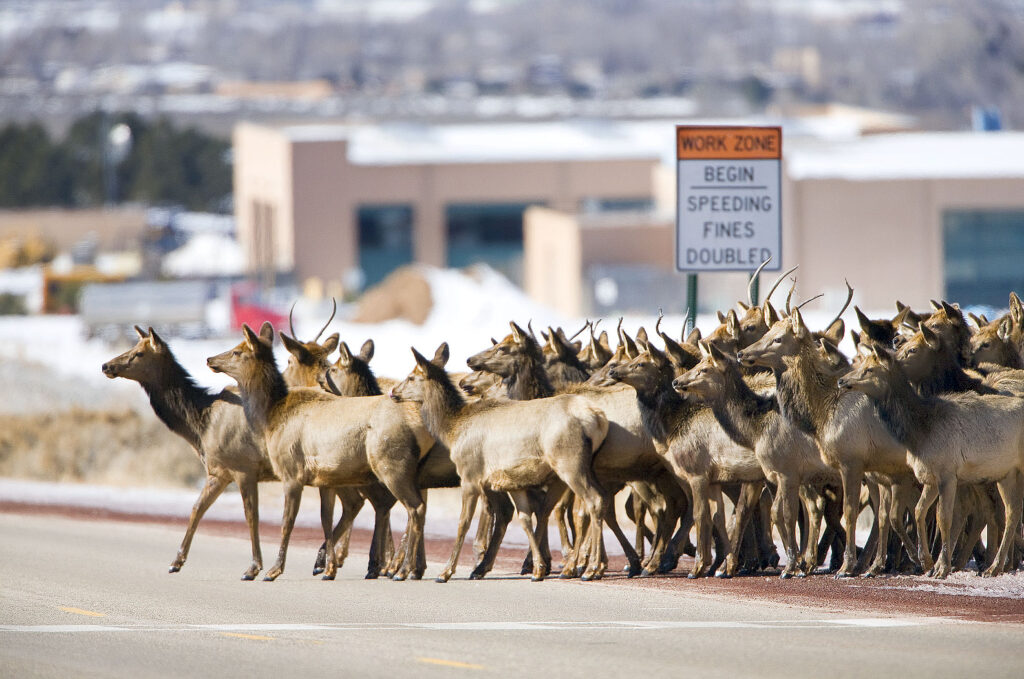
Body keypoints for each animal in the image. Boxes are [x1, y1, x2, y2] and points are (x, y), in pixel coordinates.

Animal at [101, 325, 273, 580]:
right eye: (132, 346)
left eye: (139, 353)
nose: (106, 365)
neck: (200, 428)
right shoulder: (219, 472)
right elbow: (196, 509)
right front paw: (176, 562)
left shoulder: (244, 468)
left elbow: (250, 515)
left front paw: (253, 568)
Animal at [207, 322, 433, 581]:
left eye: (237, 351)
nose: (210, 358)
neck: (271, 417)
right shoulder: (325, 477)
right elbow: (326, 519)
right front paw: (328, 568)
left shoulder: (291, 472)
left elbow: (288, 522)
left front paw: (273, 570)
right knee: (401, 506)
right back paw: (397, 567)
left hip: (391, 464)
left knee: (414, 507)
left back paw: (402, 569)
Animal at [390, 342, 612, 582]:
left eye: (411, 377)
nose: (393, 392)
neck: (452, 430)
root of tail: (598, 419)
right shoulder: (510, 480)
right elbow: (524, 518)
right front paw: (537, 568)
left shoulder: (470, 474)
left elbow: (463, 523)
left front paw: (446, 572)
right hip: (583, 466)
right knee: (595, 500)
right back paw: (585, 565)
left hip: (569, 461)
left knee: (593, 501)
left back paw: (588, 568)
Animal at [838, 346, 1024, 578]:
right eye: (861, 363)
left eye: (870, 369)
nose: (842, 380)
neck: (919, 434)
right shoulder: (930, 477)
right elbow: (919, 511)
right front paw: (926, 561)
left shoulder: (948, 473)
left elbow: (943, 517)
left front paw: (941, 568)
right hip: (1006, 473)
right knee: (1012, 512)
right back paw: (994, 567)